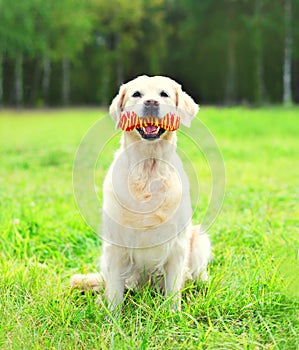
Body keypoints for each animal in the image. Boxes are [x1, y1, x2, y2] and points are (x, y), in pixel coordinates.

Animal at [72, 74, 213, 308]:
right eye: (136, 94)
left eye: (164, 94)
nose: (151, 103)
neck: (148, 166)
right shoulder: (115, 245)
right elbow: (115, 293)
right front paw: (112, 316)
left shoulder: (176, 245)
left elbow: (173, 290)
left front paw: (173, 313)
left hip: (199, 239)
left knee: (197, 274)